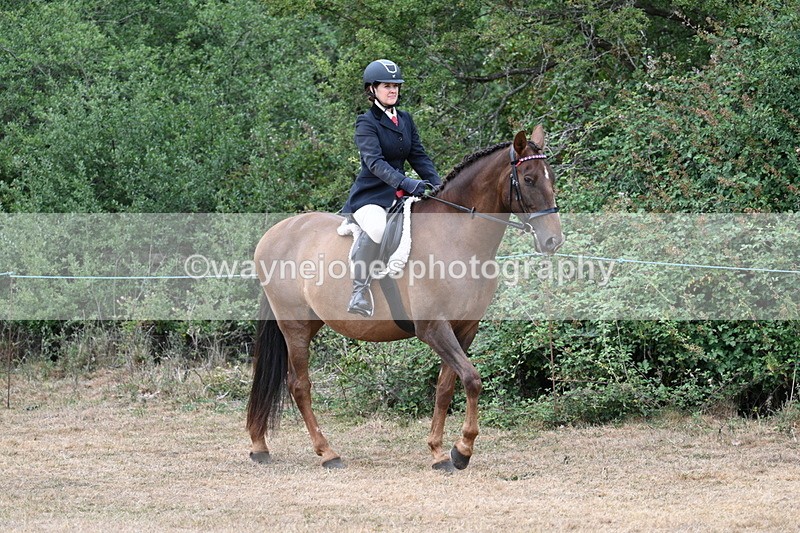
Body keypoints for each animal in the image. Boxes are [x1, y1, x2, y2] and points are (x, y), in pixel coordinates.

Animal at [247, 125, 563, 471]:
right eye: (529, 179)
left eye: (551, 177)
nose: (553, 240)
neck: (457, 240)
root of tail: (275, 231)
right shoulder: (433, 327)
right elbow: (472, 378)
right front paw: (462, 450)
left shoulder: (465, 328)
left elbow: (446, 387)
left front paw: (440, 451)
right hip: (295, 325)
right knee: (299, 385)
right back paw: (327, 453)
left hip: (311, 321)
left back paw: (260, 445)